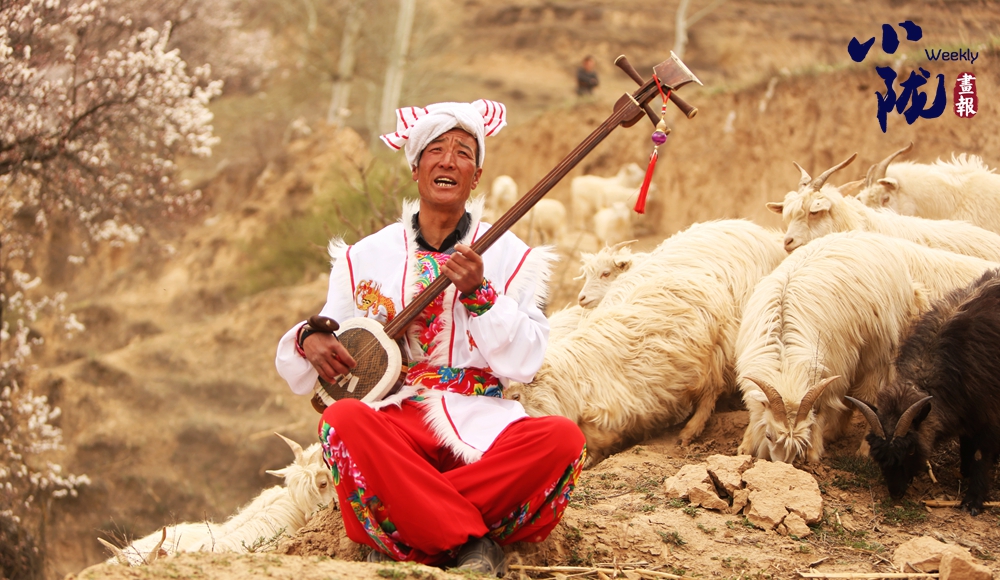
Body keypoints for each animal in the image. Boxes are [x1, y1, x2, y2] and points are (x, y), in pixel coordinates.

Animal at [736, 232, 1000, 464]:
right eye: (769, 435)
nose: (783, 464)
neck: (783, 349)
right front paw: (746, 446)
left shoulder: (833, 364)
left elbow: (823, 408)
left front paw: (813, 452)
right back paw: (834, 433)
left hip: (879, 350)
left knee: (869, 398)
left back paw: (863, 450)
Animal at [847, 268, 1000, 515]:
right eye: (878, 455)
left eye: (910, 450)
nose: (895, 492)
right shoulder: (966, 412)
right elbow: (967, 445)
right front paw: (964, 472)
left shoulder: (989, 415)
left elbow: (981, 455)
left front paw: (973, 501)